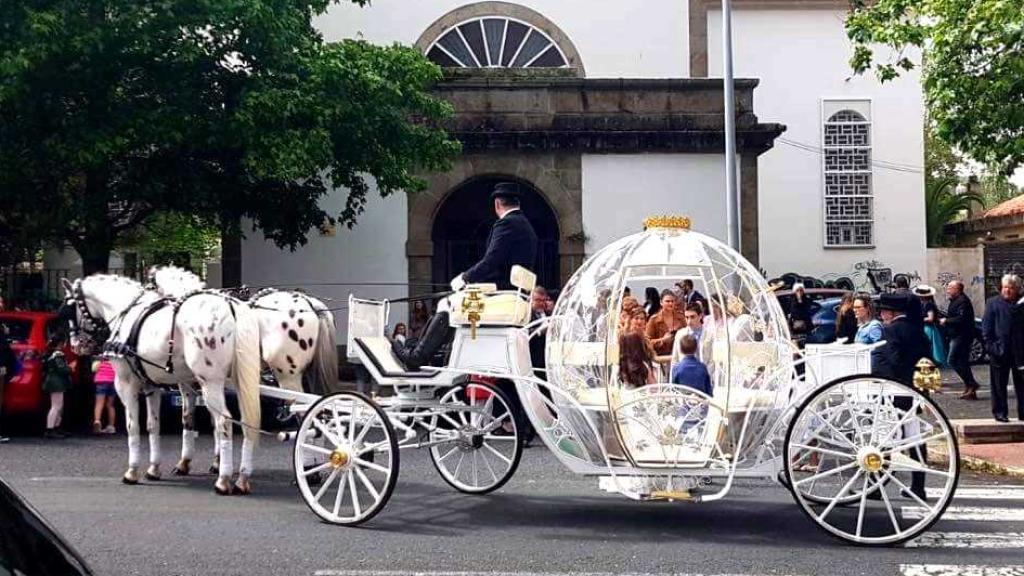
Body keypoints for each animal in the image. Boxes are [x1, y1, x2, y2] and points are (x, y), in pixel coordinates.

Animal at [59, 272, 264, 494]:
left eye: (70, 309)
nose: (76, 345)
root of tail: (231, 305)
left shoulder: (126, 384)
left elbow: (133, 426)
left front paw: (132, 471)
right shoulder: (151, 385)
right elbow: (153, 425)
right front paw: (154, 468)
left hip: (210, 381)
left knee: (223, 422)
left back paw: (223, 480)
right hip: (237, 382)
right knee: (246, 421)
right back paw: (242, 478)